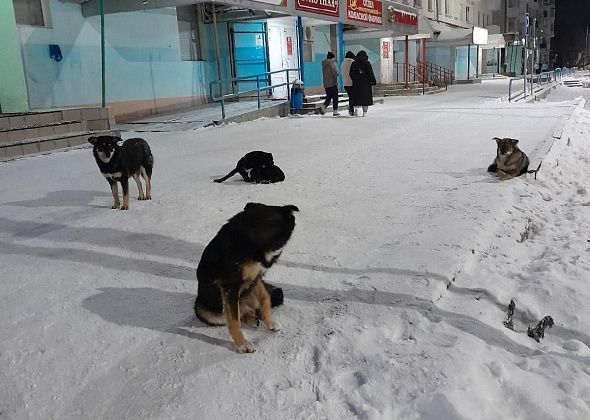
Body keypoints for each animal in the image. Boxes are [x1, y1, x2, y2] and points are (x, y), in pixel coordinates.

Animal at [195, 202, 300, 352]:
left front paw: (270, 321)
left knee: (247, 310)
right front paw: (242, 344)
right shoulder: (230, 286)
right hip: (206, 310)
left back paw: (253, 318)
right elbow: (234, 321)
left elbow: (265, 297)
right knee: (236, 315)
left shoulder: (256, 277)